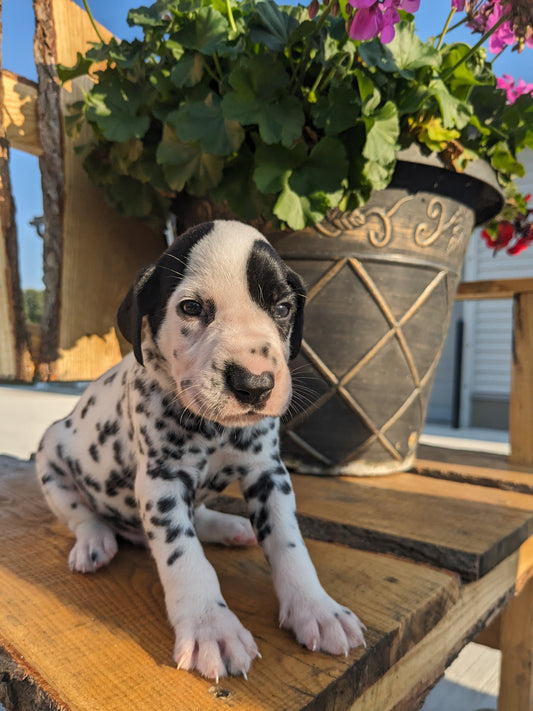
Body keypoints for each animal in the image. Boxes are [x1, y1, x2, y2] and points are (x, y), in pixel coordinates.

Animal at [35, 220, 364, 680]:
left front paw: (316, 607)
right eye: (191, 308)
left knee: (201, 515)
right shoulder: (162, 484)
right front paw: (211, 626)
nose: (254, 384)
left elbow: (289, 544)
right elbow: (185, 556)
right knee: (81, 515)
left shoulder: (269, 474)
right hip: (50, 457)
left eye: (282, 308)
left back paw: (228, 527)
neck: (216, 431)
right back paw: (94, 541)